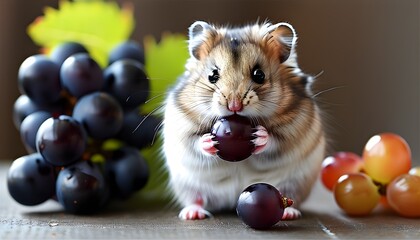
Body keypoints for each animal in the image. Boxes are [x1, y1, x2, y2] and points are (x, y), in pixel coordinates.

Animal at [161, 21, 324, 221]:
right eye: (212, 75)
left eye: (259, 75)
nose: (234, 105)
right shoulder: (182, 127)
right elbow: (195, 141)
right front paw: (209, 141)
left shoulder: (292, 130)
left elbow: (275, 140)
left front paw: (260, 135)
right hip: (188, 185)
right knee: (196, 199)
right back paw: (192, 214)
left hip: (295, 182)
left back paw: (289, 213)